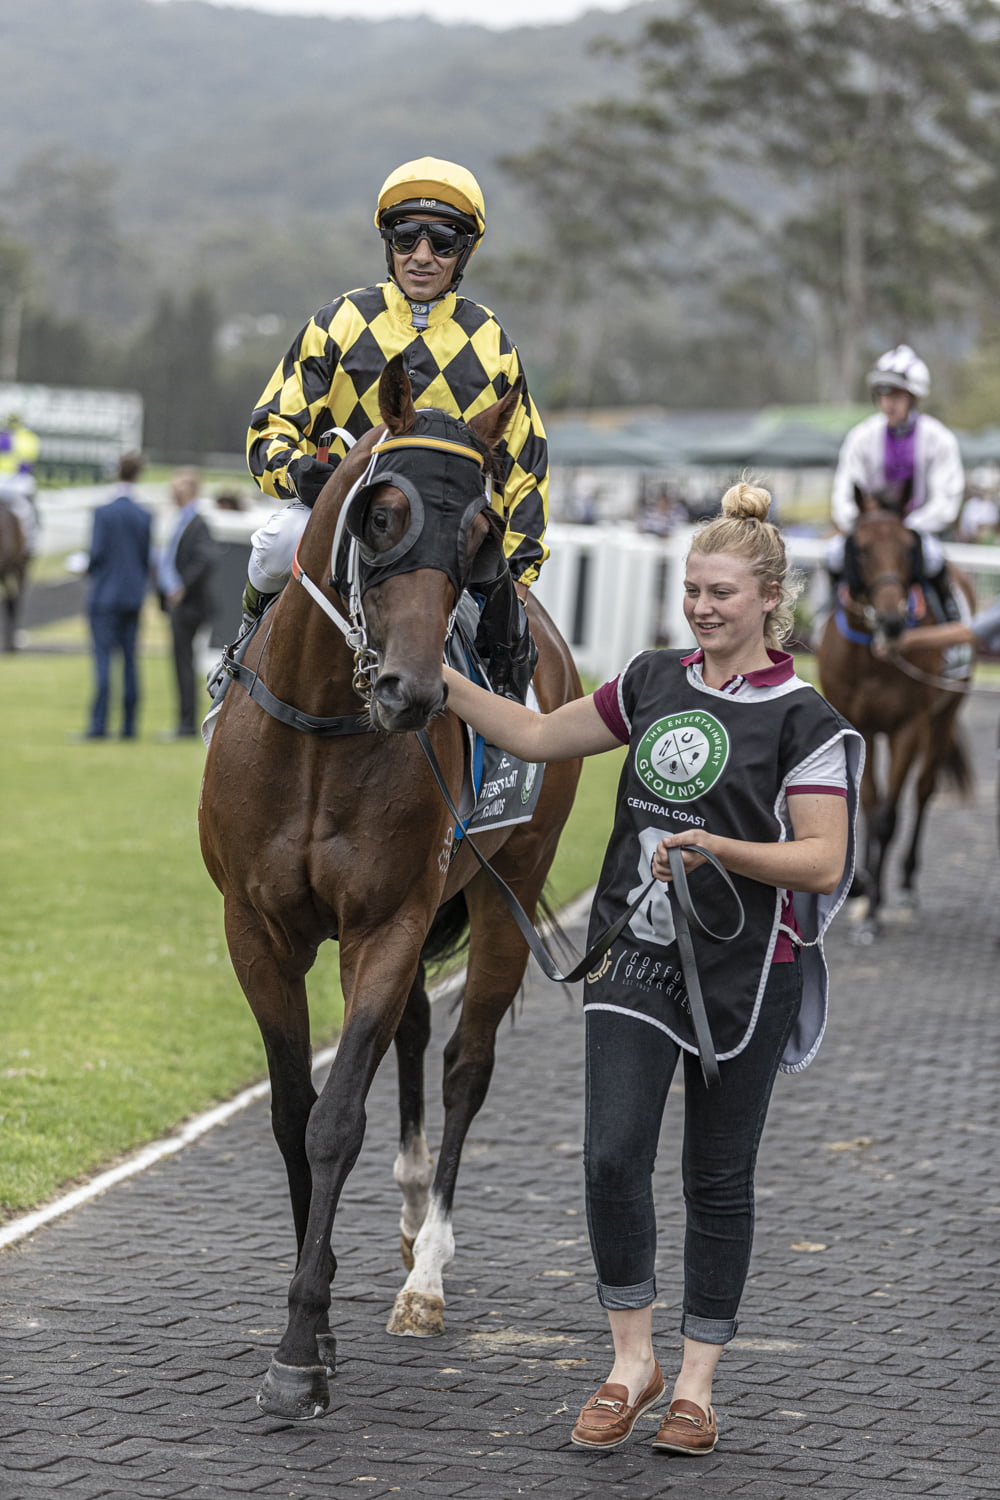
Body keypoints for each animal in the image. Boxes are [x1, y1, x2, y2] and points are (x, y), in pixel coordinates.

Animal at [197, 357, 581, 1422]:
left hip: (502, 891)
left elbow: (336, 1121)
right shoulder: (256, 931)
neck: (325, 733)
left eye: (484, 533)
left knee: (463, 1064)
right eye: (382, 514)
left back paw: (428, 1275)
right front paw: (316, 1317)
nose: (416, 692)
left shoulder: (386, 922)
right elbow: (292, 1116)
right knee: (414, 1030)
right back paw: (409, 1223)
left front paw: (299, 1351)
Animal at [815, 489, 971, 936]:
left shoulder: (909, 727)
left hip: (943, 717)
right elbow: (866, 804)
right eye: (861, 548)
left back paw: (904, 886)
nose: (892, 620)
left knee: (923, 790)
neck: (872, 657)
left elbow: (887, 815)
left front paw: (875, 906)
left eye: (907, 548)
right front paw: (862, 889)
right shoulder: (858, 723)